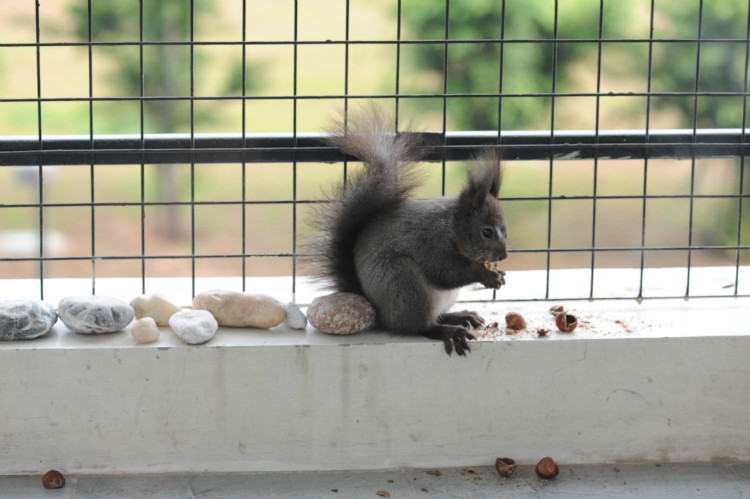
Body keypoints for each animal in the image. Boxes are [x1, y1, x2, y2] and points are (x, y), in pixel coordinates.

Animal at [308, 106, 508, 356]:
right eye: (487, 232)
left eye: (505, 229)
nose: (503, 256)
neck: (451, 226)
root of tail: (380, 315)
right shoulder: (430, 242)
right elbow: (446, 271)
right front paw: (486, 275)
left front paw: (497, 273)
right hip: (403, 283)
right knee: (417, 326)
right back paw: (448, 331)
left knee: (435, 316)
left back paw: (460, 316)